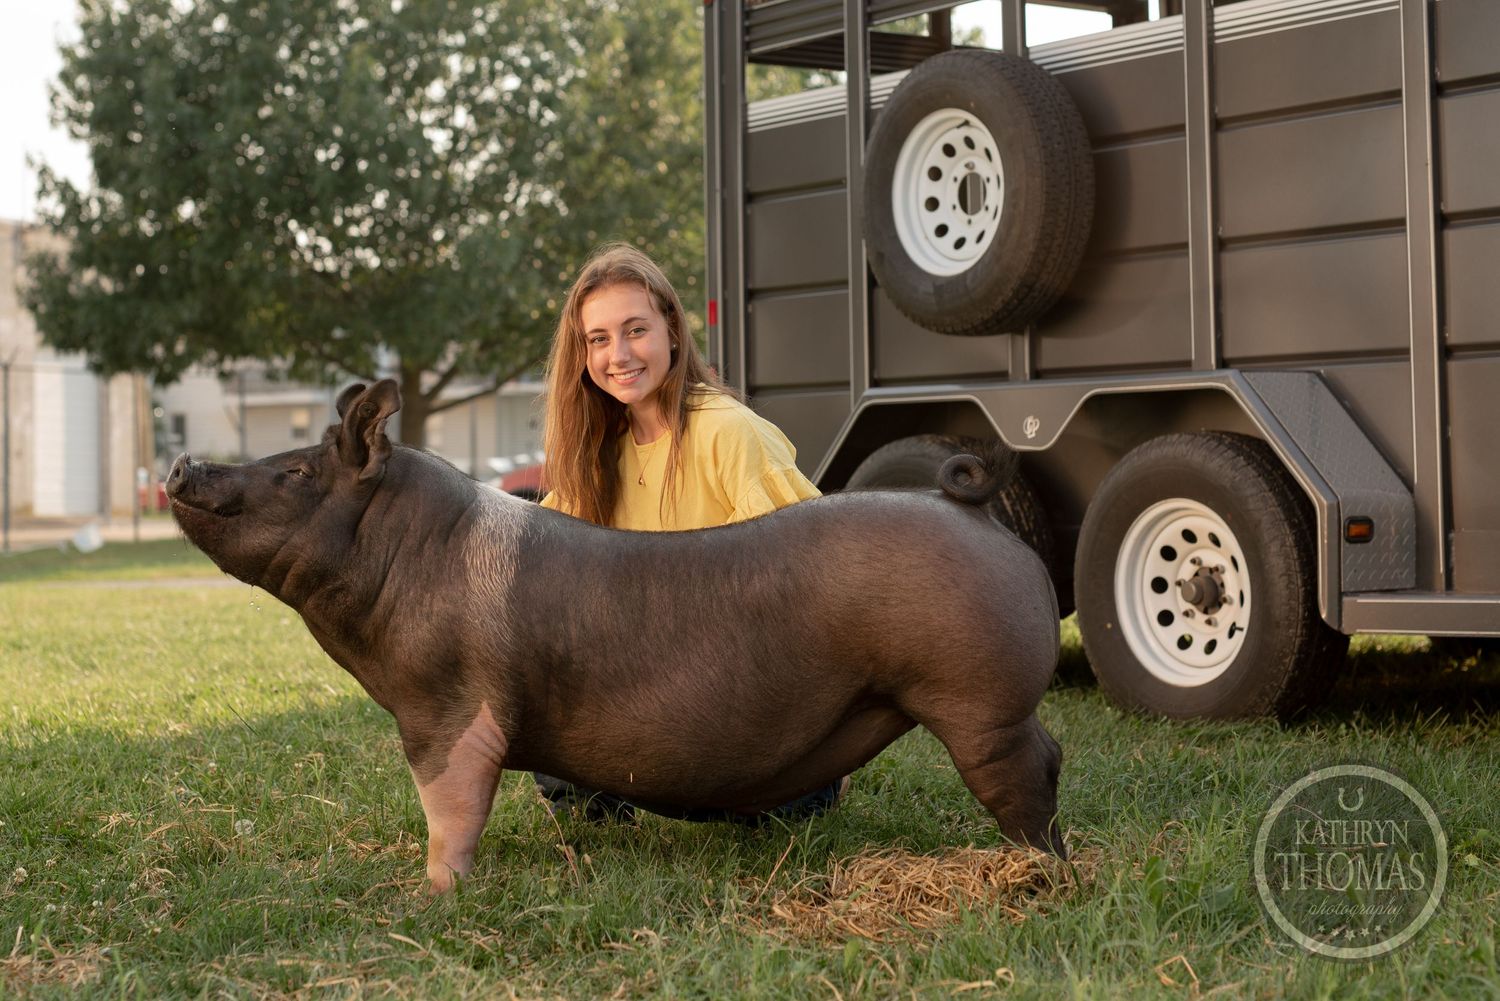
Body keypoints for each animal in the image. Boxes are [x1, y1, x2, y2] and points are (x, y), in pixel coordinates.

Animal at [167, 379, 1063, 892]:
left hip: (978, 699)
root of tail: (969, 507)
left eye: (294, 472)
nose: (181, 466)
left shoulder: (447, 709)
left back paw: (1038, 868)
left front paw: (433, 894)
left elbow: (449, 804)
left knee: (1030, 769)